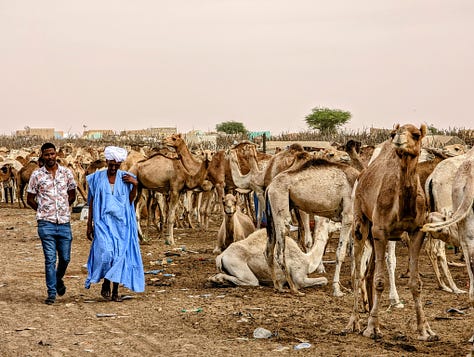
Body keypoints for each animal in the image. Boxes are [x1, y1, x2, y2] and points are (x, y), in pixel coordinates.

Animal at [262, 156, 360, 294]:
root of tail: (270, 187)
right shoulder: (348, 216)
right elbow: (340, 252)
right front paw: (337, 289)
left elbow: (352, 251)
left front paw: (353, 286)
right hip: (281, 208)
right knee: (279, 251)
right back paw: (294, 289)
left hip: (272, 215)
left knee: (268, 250)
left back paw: (278, 286)